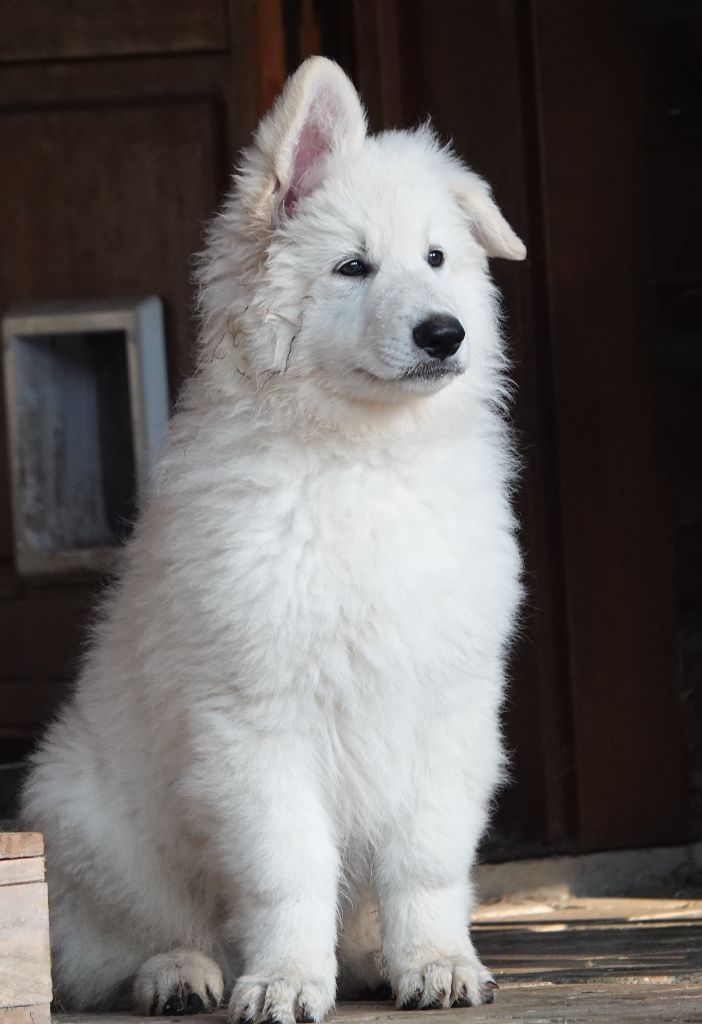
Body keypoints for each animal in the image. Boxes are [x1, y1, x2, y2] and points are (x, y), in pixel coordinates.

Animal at [20, 58, 528, 1024]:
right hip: (90, 819)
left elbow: (427, 859)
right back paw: (179, 974)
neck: (364, 458)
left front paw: (435, 962)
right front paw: (288, 979)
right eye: (352, 268)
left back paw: (367, 959)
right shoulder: (256, 719)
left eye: (437, 259)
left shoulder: (450, 704)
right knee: (118, 949)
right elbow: (288, 870)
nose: (445, 333)